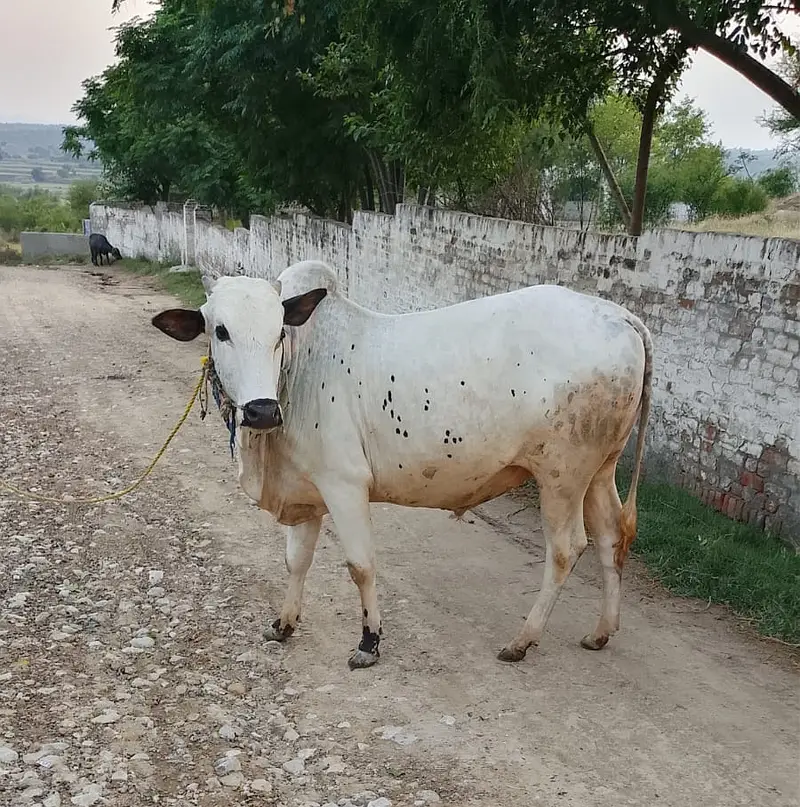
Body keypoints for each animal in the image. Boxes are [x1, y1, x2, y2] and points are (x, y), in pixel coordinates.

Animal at [152, 260, 653, 670]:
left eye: (278, 332)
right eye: (220, 331)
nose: (260, 411)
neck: (297, 371)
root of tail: (622, 317)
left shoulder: (344, 486)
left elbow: (360, 565)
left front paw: (369, 642)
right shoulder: (306, 490)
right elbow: (297, 561)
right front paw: (284, 623)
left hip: (562, 476)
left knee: (567, 549)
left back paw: (523, 639)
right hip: (599, 471)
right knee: (611, 537)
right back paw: (601, 631)